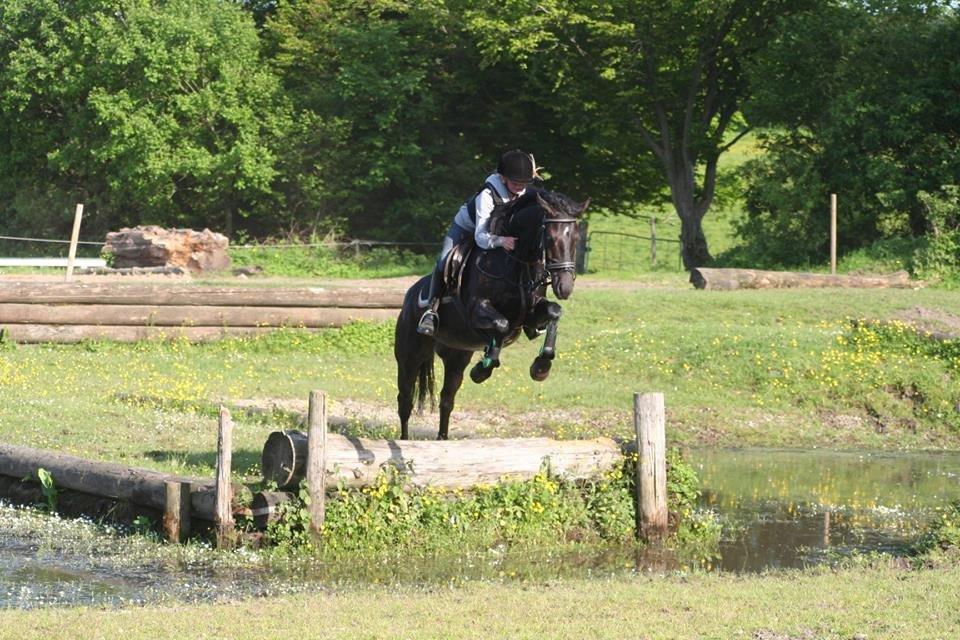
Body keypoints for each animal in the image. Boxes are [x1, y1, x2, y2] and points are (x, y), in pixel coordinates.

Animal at [394, 190, 588, 440]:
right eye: (551, 239)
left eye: (575, 239)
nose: (565, 287)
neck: (514, 262)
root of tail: (408, 297)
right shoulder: (476, 310)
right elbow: (502, 324)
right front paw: (483, 369)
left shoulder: (531, 313)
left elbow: (554, 312)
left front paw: (541, 366)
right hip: (410, 356)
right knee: (405, 400)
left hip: (456, 357)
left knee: (447, 400)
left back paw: (442, 438)